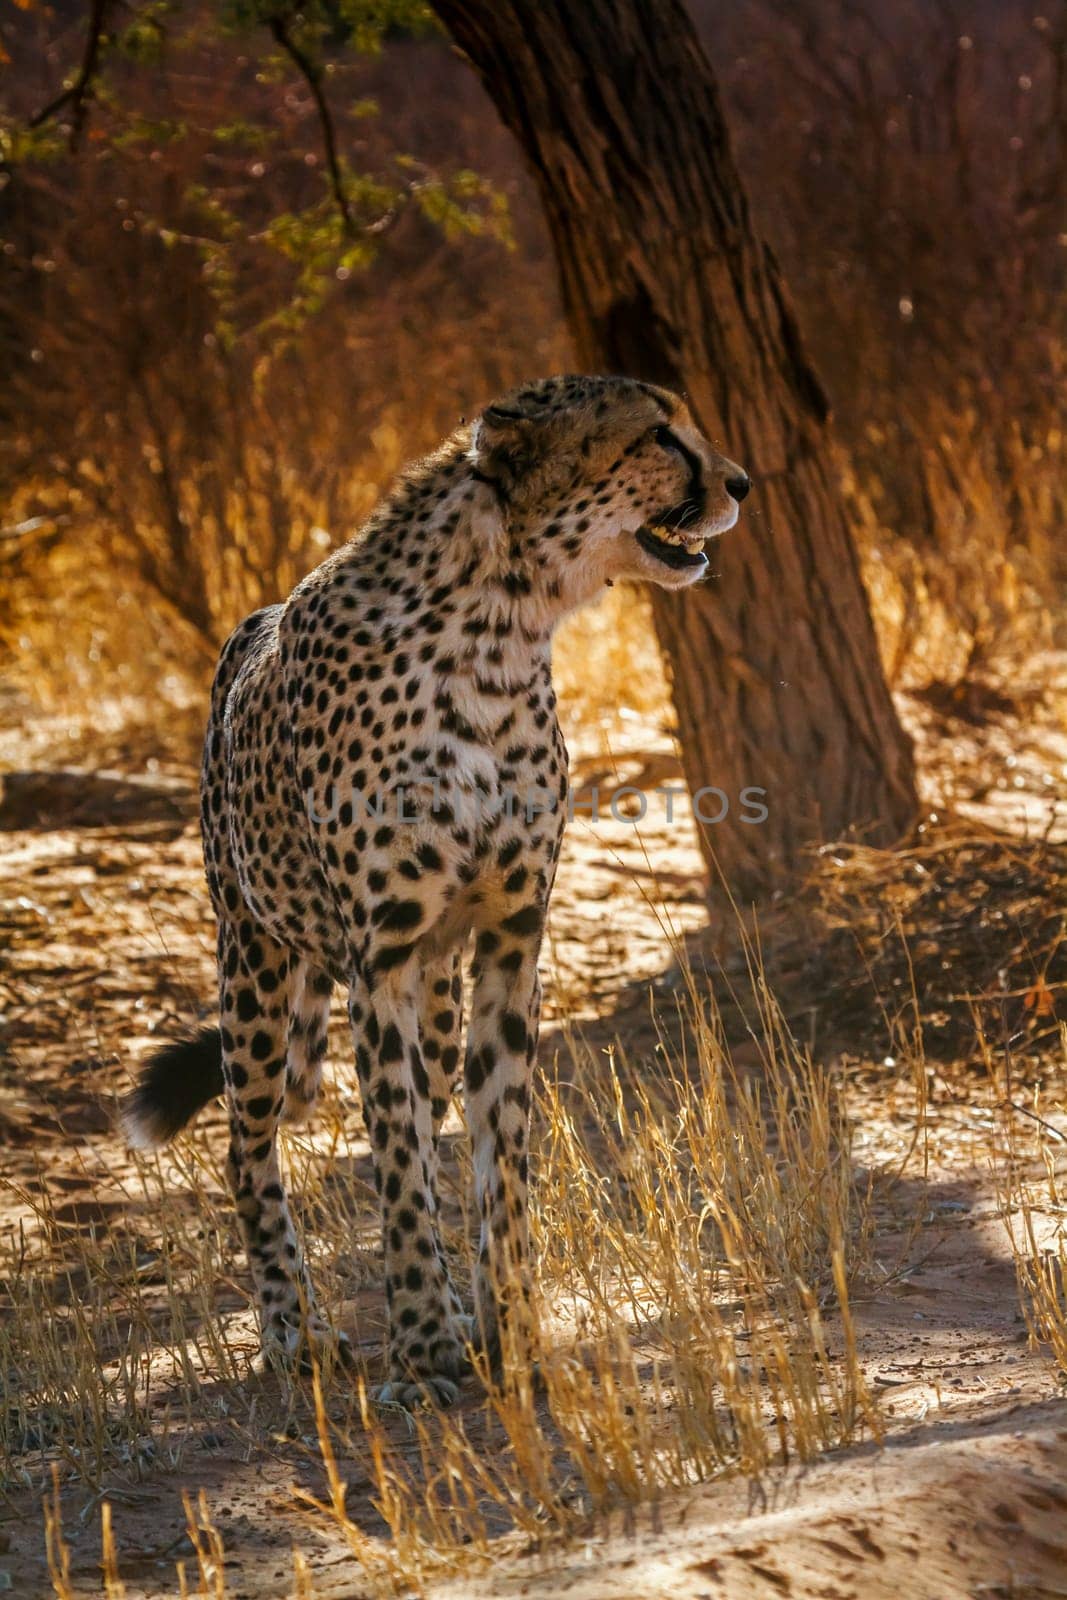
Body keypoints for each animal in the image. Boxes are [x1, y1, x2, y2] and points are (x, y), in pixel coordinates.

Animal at [125, 374, 751, 1401]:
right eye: (658, 434)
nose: (739, 482)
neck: (500, 631)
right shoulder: (376, 962)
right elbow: (398, 1167)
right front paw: (420, 1352)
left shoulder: (508, 945)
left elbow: (499, 1162)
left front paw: (510, 1332)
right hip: (255, 964)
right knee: (247, 1146)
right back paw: (293, 1333)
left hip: (437, 995)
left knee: (424, 1108)